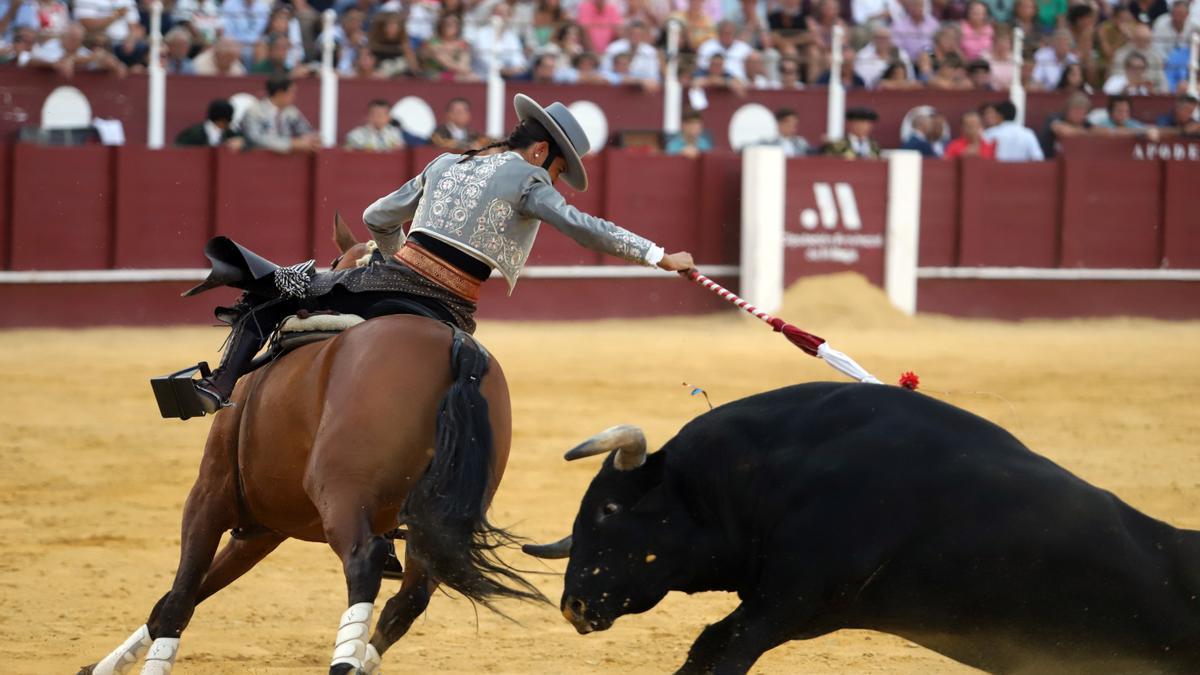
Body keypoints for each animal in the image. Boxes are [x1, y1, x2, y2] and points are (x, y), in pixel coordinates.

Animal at [77, 222, 542, 672]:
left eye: (334, 262)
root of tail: (459, 349)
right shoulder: (264, 528)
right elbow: (180, 598)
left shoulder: (210, 494)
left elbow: (178, 597)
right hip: (437, 519)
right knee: (409, 598)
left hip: (339, 490)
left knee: (364, 561)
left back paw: (344, 663)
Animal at [525, 381, 1200, 672]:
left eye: (609, 510)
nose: (573, 604)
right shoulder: (790, 606)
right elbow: (707, 648)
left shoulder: (788, 602)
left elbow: (723, 650)